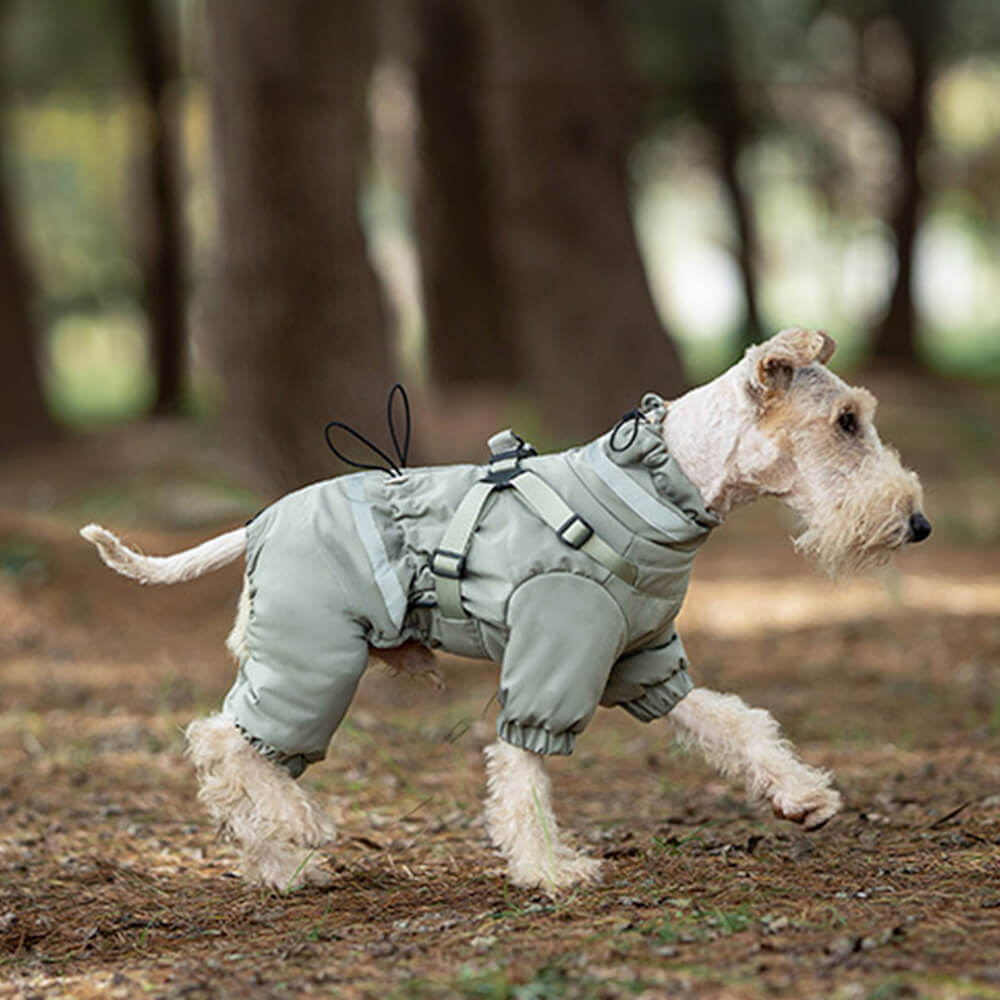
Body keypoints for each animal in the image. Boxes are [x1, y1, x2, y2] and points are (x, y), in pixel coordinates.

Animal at [80, 332, 928, 896]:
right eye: (846, 421)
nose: (917, 525)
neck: (662, 482)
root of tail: (255, 524)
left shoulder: (642, 659)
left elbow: (731, 721)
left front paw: (804, 797)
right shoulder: (555, 650)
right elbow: (525, 771)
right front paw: (551, 869)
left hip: (303, 659)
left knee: (246, 757)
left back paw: (282, 864)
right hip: (315, 655)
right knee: (225, 743)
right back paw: (304, 830)